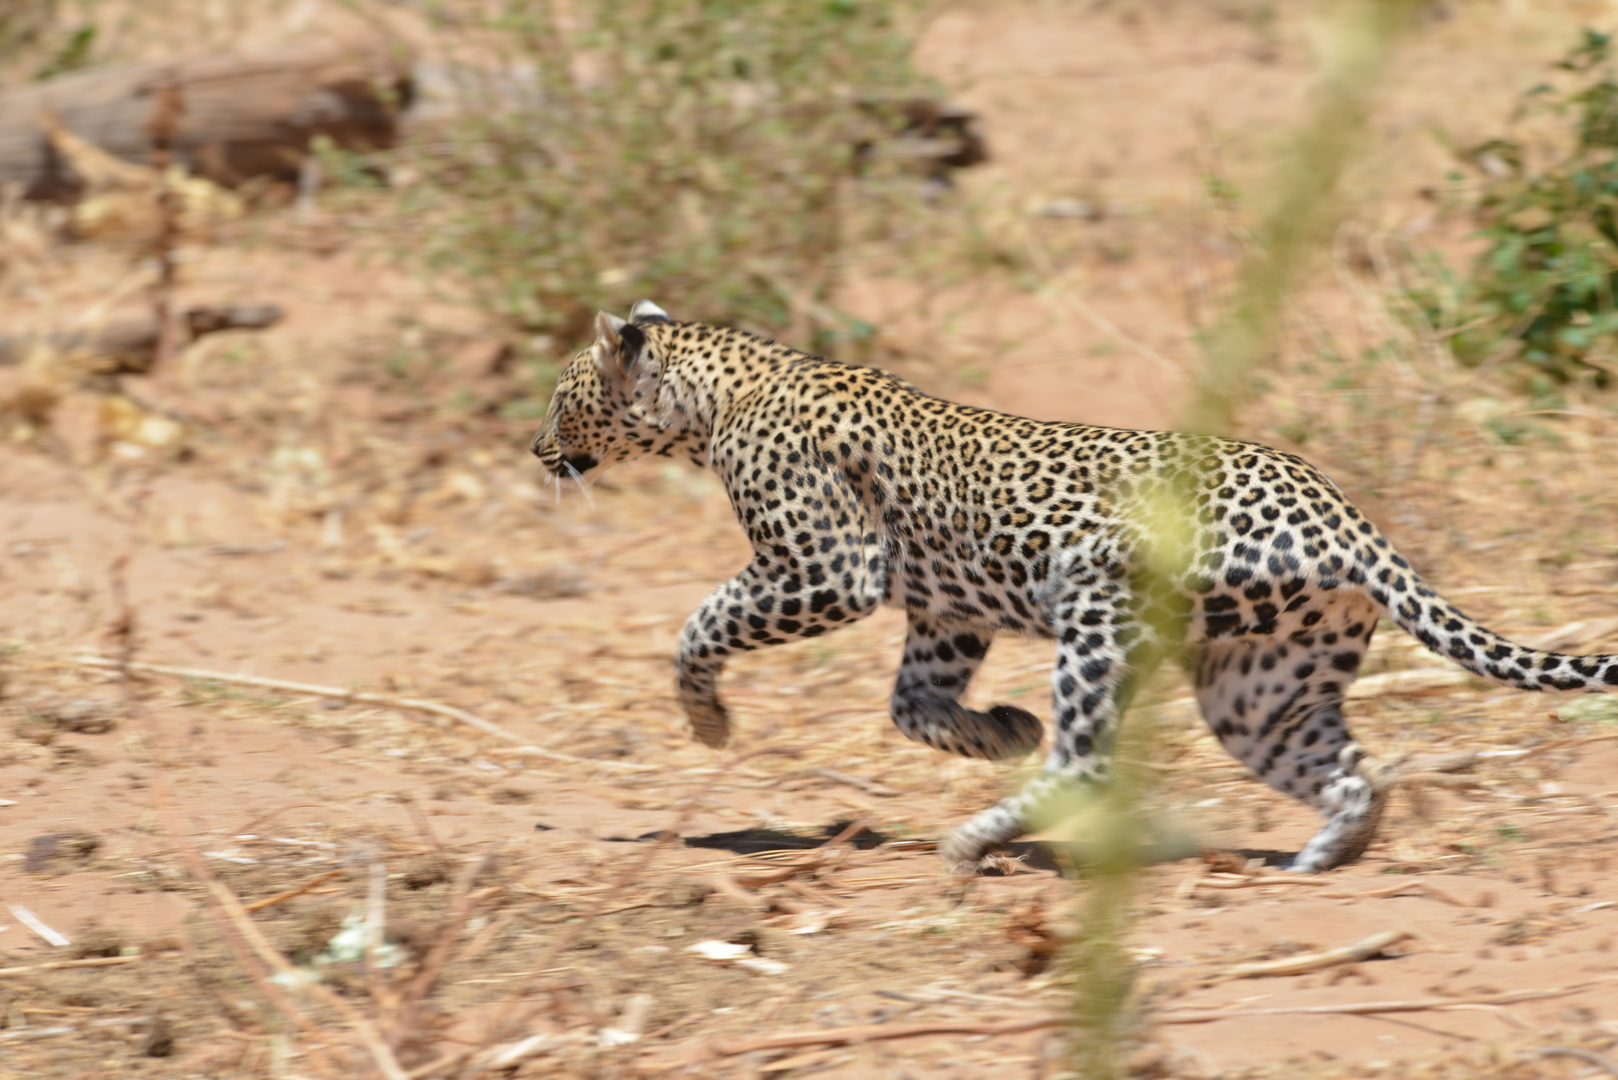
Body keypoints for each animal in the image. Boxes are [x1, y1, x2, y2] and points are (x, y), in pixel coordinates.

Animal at [527, 299, 1618, 874]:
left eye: (560, 395)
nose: (534, 448)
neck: (717, 393)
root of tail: (1345, 516)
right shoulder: (947, 609)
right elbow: (912, 705)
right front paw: (997, 729)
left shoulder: (829, 567)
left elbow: (702, 621)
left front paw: (705, 719)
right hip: (1260, 680)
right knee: (1345, 769)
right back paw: (1319, 859)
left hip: (1098, 604)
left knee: (1088, 761)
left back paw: (973, 843)